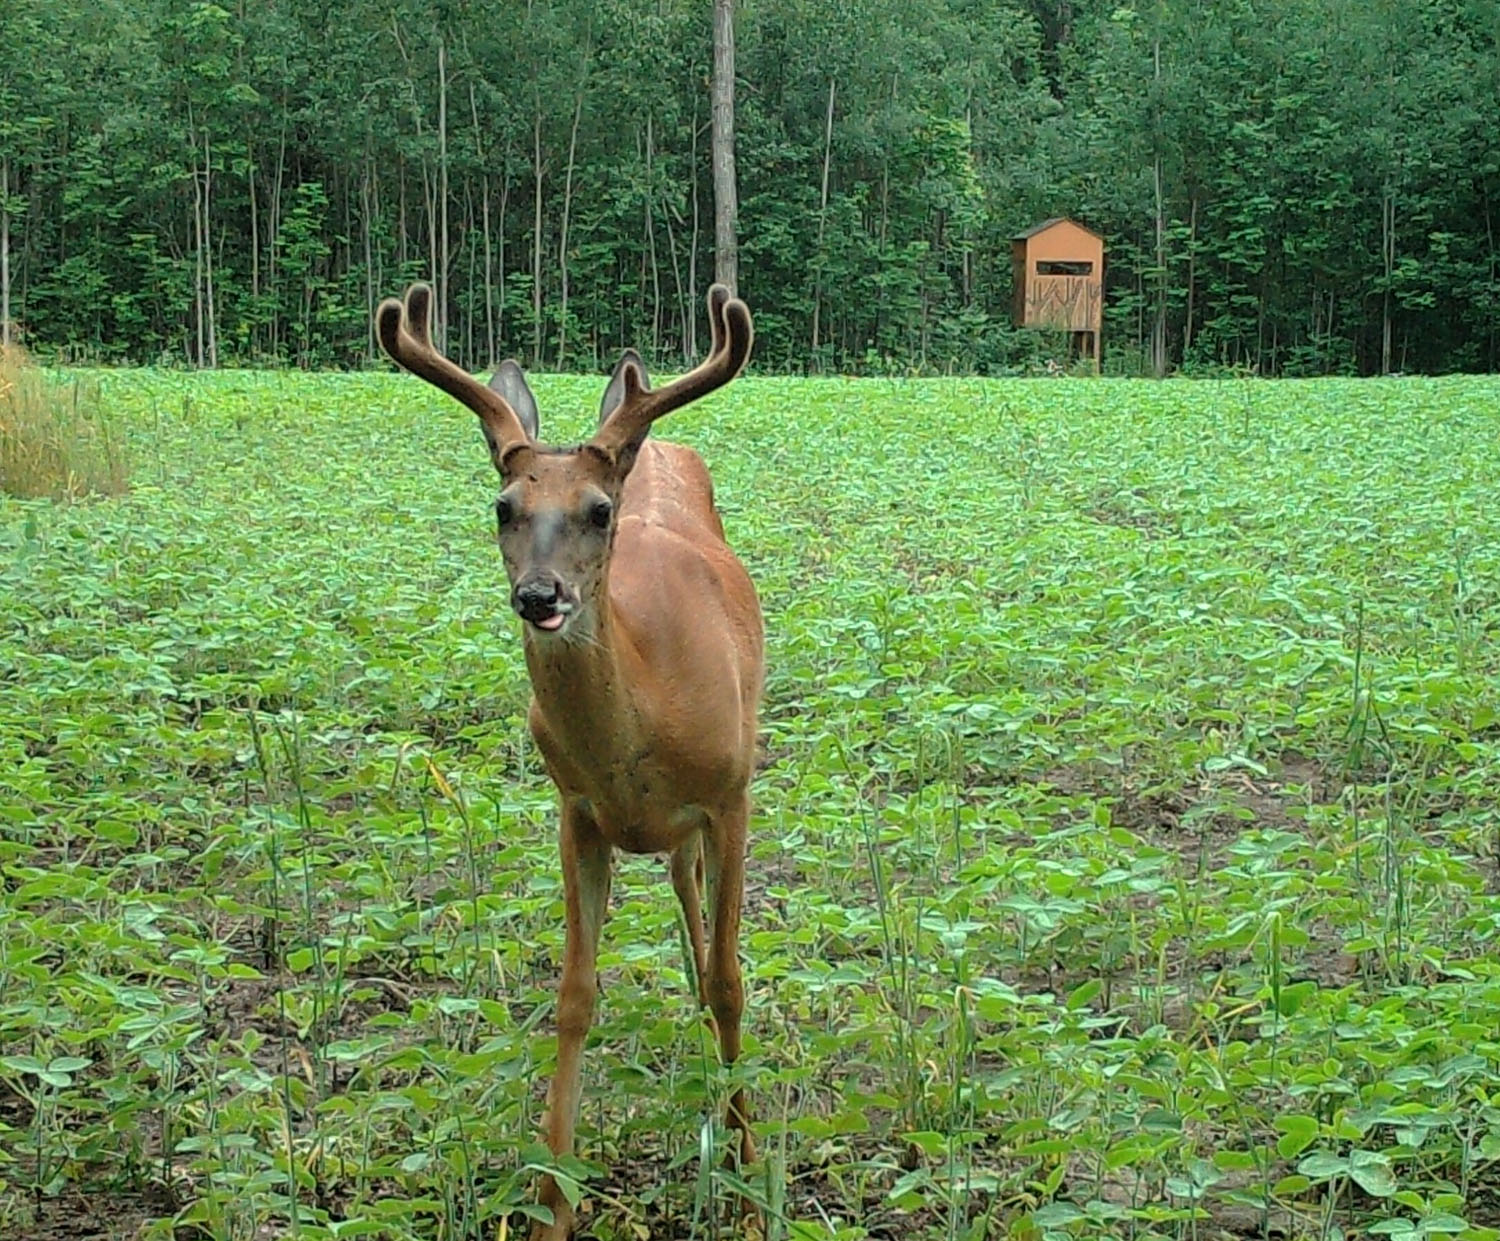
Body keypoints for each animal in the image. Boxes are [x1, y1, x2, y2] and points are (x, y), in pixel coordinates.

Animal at [378, 283, 762, 1241]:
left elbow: (733, 979)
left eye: (597, 511)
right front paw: (553, 1199)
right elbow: (575, 996)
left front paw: (748, 1174)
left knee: (703, 925)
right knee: (682, 885)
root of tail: (651, 441)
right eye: (503, 507)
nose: (539, 595)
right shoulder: (576, 810)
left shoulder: (732, 793)